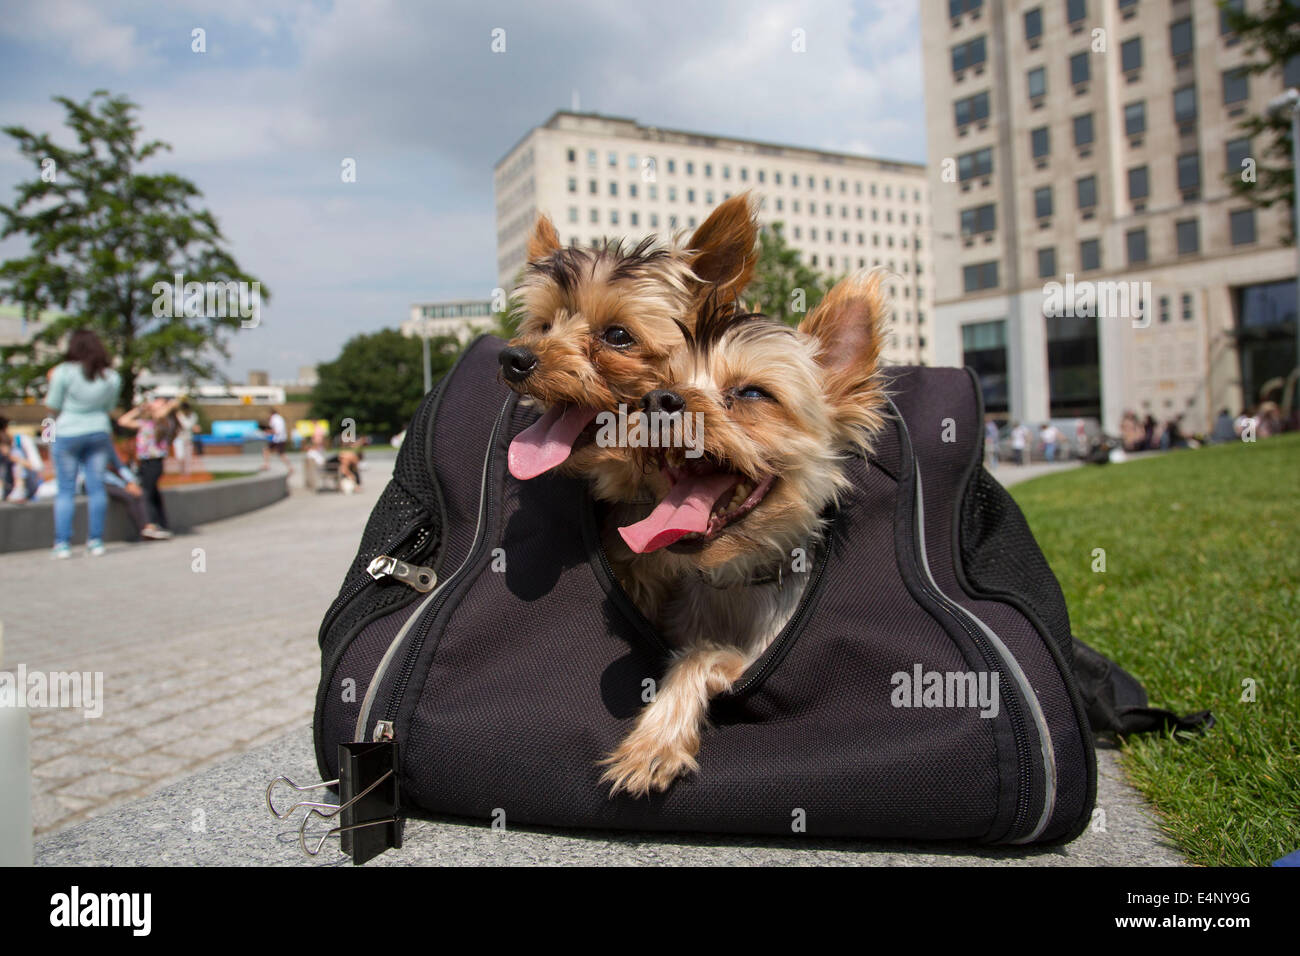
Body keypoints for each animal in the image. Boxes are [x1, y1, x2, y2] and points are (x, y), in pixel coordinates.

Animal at [598, 270, 894, 801]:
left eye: (754, 394)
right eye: (659, 383)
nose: (657, 401)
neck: (735, 578)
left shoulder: (750, 660)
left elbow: (700, 654)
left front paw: (654, 742)